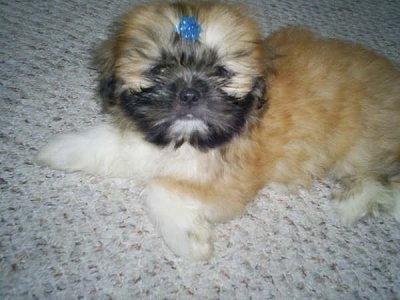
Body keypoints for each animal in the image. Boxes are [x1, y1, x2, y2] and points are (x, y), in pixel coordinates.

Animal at [37, 1, 400, 258]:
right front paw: (61, 150)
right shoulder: (144, 141)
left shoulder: (229, 185)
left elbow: (158, 188)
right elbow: (111, 145)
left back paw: (350, 203)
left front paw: (189, 240)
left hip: (361, 146)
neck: (185, 140)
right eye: (161, 69)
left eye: (221, 72)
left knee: (379, 178)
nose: (189, 93)